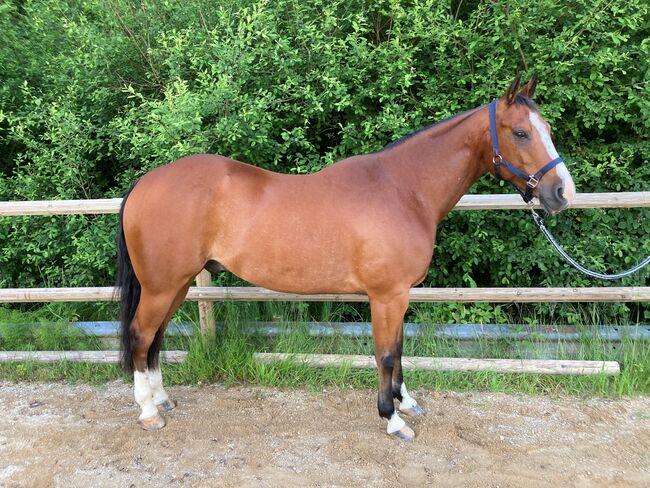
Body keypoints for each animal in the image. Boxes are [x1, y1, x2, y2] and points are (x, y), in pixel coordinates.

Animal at [115, 73, 572, 442]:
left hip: (176, 285)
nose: (562, 192)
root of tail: (145, 183)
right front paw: (393, 419)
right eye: (520, 133)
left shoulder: (398, 295)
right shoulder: (386, 295)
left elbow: (398, 349)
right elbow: (385, 354)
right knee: (141, 335)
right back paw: (149, 412)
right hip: (162, 286)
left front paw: (406, 403)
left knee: (155, 339)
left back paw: (163, 399)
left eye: (547, 129)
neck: (403, 190)